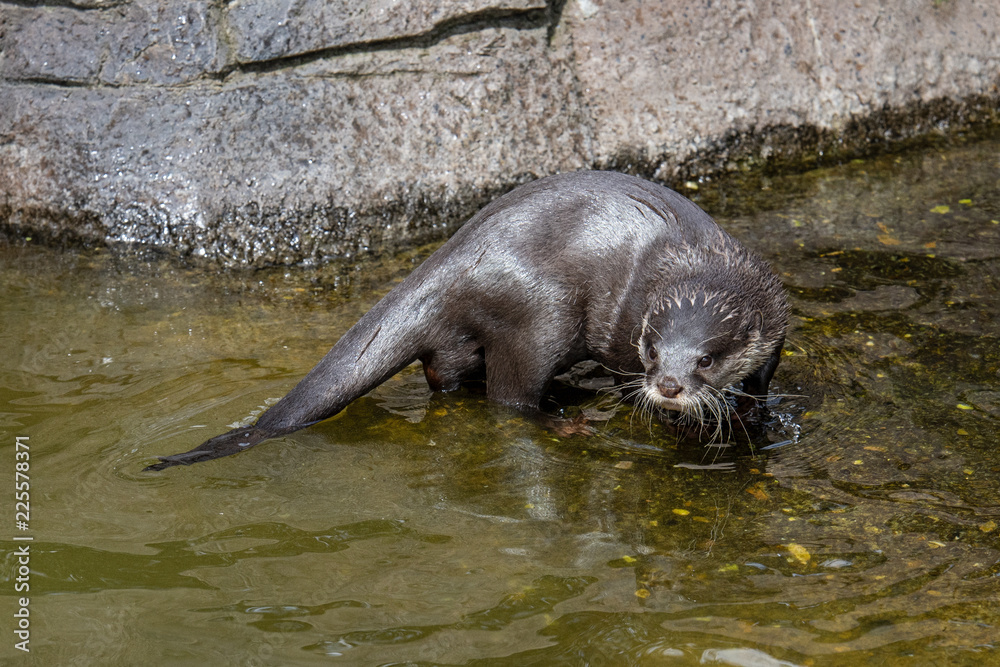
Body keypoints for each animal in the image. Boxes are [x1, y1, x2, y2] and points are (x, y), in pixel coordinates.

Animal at [146, 171, 788, 471]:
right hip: (542, 314)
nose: (670, 385)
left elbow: (761, 383)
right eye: (652, 350)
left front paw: (754, 414)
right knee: (509, 397)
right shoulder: (623, 331)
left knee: (445, 375)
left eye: (705, 358)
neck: (695, 260)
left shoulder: (776, 327)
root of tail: (455, 257)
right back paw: (562, 420)